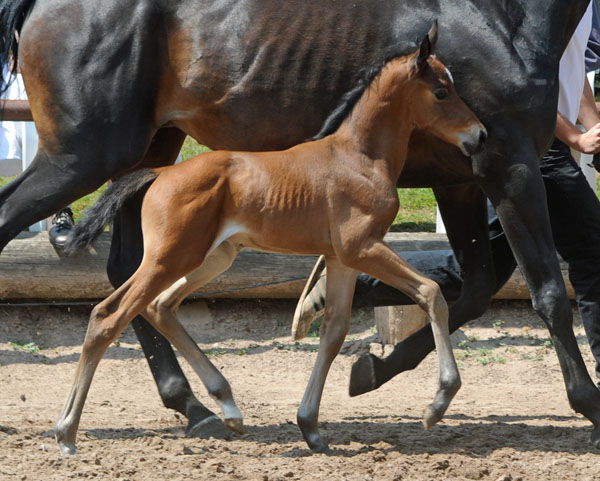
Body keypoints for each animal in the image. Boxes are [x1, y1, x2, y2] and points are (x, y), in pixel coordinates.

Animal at [58, 27, 486, 454]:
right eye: (442, 91)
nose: (479, 136)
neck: (360, 158)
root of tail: (161, 173)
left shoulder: (342, 258)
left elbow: (334, 331)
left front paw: (310, 427)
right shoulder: (363, 247)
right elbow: (431, 292)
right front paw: (438, 403)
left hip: (212, 257)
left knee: (159, 306)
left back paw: (228, 408)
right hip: (170, 258)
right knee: (109, 316)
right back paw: (66, 432)